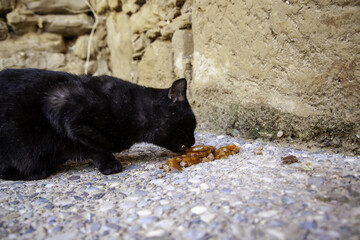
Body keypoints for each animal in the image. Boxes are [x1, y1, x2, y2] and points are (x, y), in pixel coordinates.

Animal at [0, 68, 195, 180]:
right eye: (192, 125)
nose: (193, 142)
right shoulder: (59, 104)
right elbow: (95, 146)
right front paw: (110, 165)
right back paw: (34, 173)